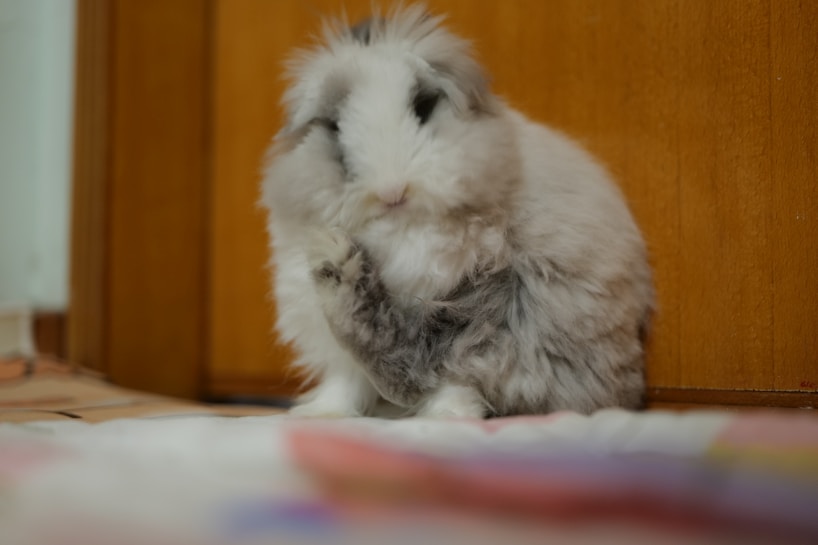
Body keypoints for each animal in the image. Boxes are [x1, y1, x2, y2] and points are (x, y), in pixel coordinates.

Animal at [260, 4, 654, 418]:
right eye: (334, 126)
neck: (397, 235)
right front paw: (324, 413)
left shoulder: (478, 298)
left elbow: (444, 368)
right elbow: (348, 382)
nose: (391, 191)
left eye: (422, 107)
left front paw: (444, 417)